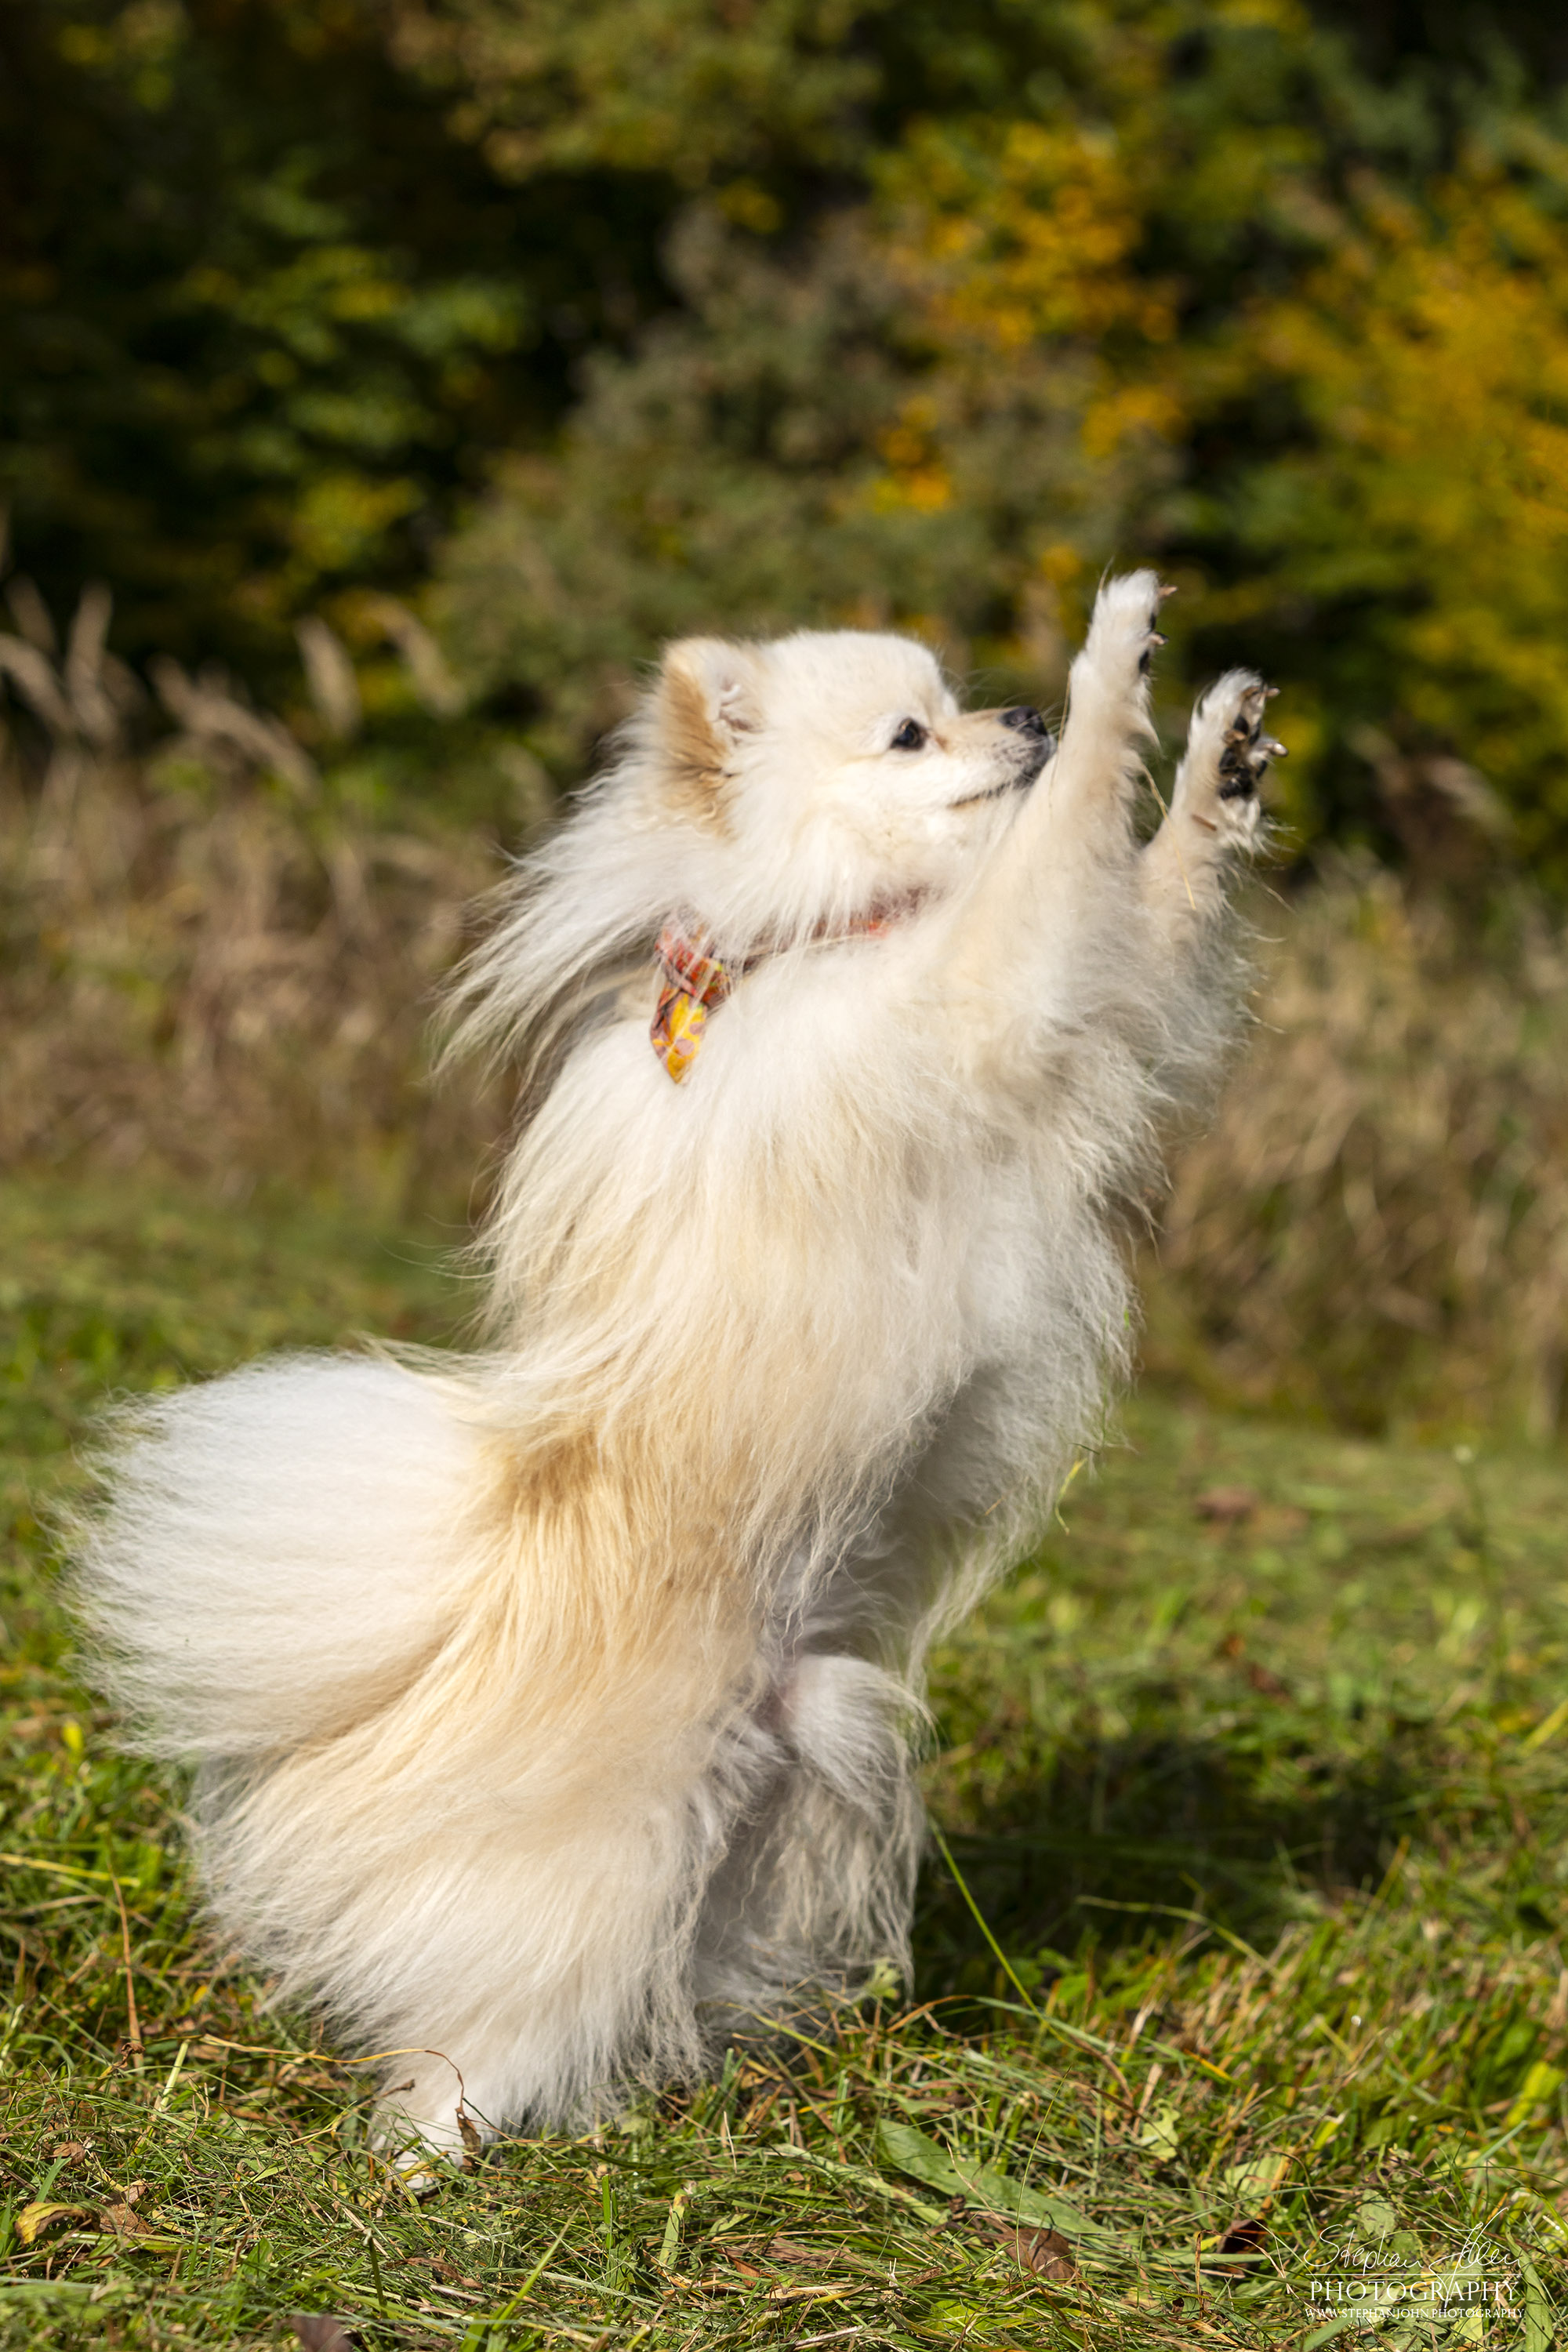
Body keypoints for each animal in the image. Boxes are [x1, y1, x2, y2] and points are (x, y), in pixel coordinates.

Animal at [76, 569, 1279, 2154]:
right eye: (911, 733)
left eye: (956, 701)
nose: (1016, 711)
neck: (829, 933)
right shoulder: (990, 991)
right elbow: (1070, 840)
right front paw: (1113, 665)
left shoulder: (1089, 1011)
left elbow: (1157, 890)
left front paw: (1221, 757)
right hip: (606, 1862)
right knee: (495, 2020)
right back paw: (428, 2151)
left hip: (803, 1751)